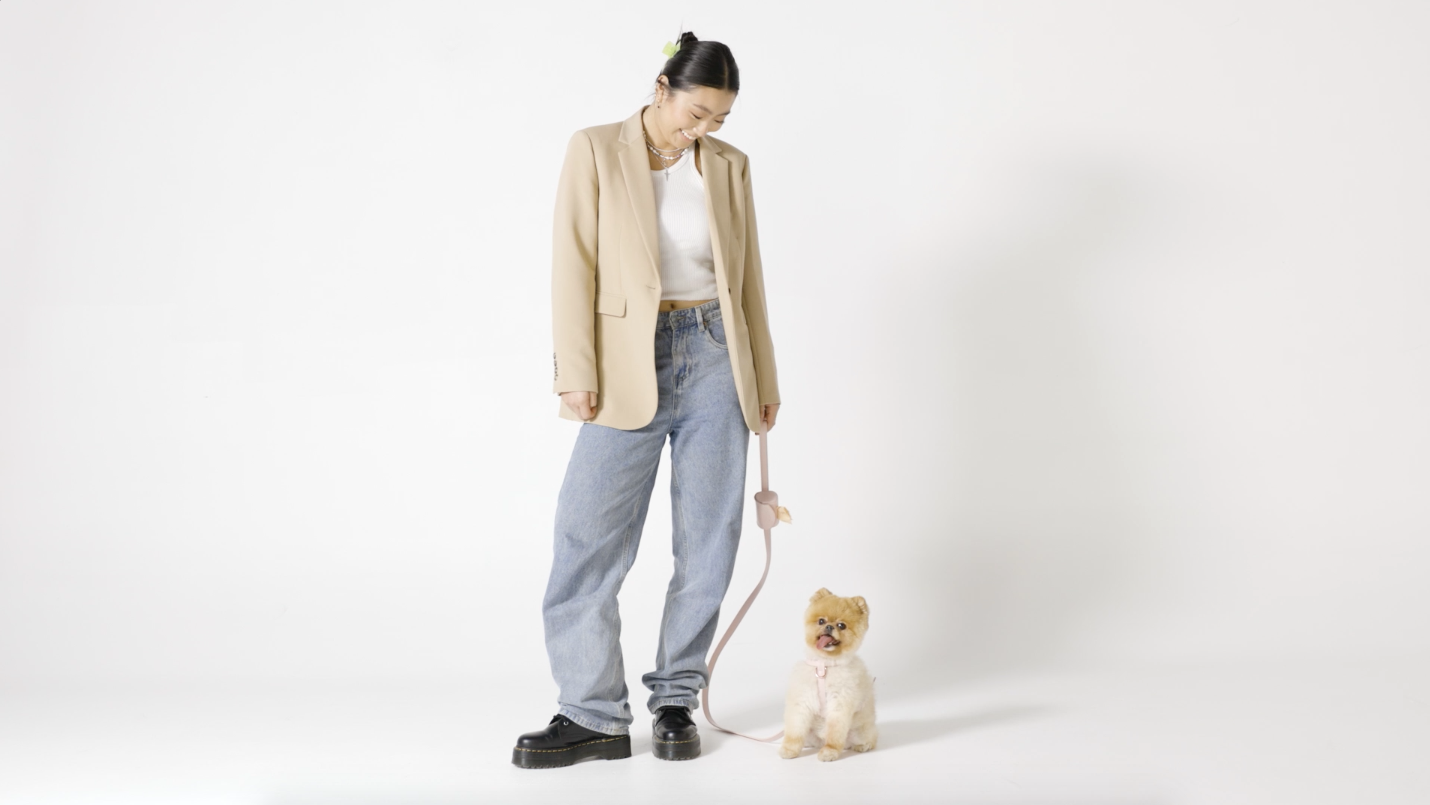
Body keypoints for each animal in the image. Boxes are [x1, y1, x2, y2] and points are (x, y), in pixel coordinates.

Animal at [777, 589, 875, 760]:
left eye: (842, 625)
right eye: (821, 621)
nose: (829, 626)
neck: (824, 666)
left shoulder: (839, 703)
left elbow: (835, 732)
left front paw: (830, 751)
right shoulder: (801, 700)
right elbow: (795, 730)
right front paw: (789, 749)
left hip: (861, 730)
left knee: (871, 739)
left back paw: (862, 746)